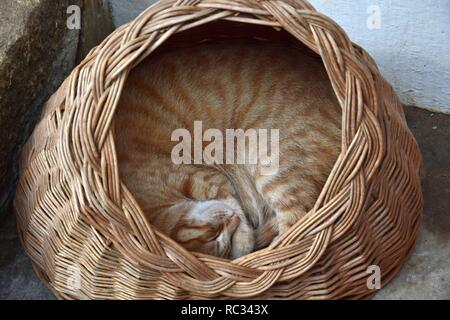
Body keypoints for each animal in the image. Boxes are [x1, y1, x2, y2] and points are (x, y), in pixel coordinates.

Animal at [114, 38, 340, 258]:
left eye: (214, 235)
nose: (229, 227)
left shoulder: (206, 177)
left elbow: (233, 204)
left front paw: (242, 244)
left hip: (269, 162)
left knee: (295, 226)